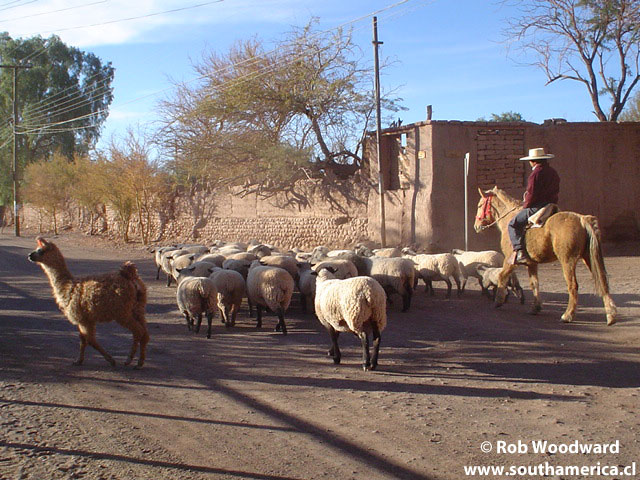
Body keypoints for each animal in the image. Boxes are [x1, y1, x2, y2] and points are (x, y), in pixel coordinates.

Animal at [27, 236, 149, 368]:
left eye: (40, 250)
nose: (30, 255)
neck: (67, 287)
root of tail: (131, 278)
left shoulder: (82, 318)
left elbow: (89, 340)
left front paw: (110, 359)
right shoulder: (86, 319)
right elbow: (83, 339)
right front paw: (78, 360)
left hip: (122, 311)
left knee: (138, 331)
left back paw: (129, 360)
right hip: (138, 308)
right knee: (145, 334)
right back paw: (140, 362)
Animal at [476, 186, 616, 324]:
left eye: (480, 205)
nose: (476, 226)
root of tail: (582, 219)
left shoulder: (510, 261)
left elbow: (502, 276)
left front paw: (498, 300)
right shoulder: (531, 264)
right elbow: (534, 284)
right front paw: (535, 307)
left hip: (568, 261)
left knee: (573, 286)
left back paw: (568, 315)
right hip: (588, 258)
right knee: (603, 281)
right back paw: (611, 315)